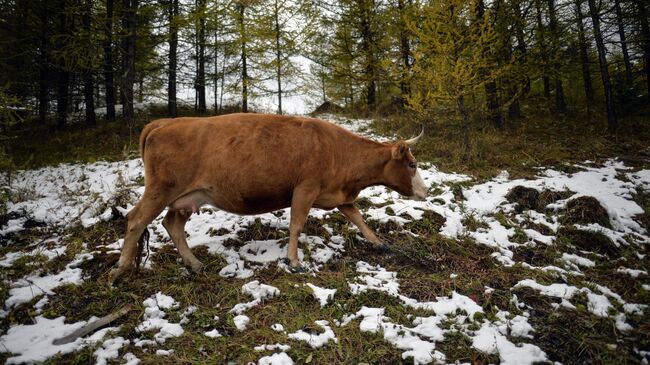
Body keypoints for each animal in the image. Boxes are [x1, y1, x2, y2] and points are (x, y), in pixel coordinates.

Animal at [109, 112, 428, 282]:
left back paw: (195, 264)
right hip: (160, 190)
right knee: (136, 220)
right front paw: (294, 261)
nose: (426, 192)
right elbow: (296, 225)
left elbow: (358, 218)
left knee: (172, 225)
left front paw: (378, 243)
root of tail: (163, 122)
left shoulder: (339, 195)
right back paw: (120, 269)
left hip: (187, 198)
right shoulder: (305, 189)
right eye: (412, 164)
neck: (338, 150)